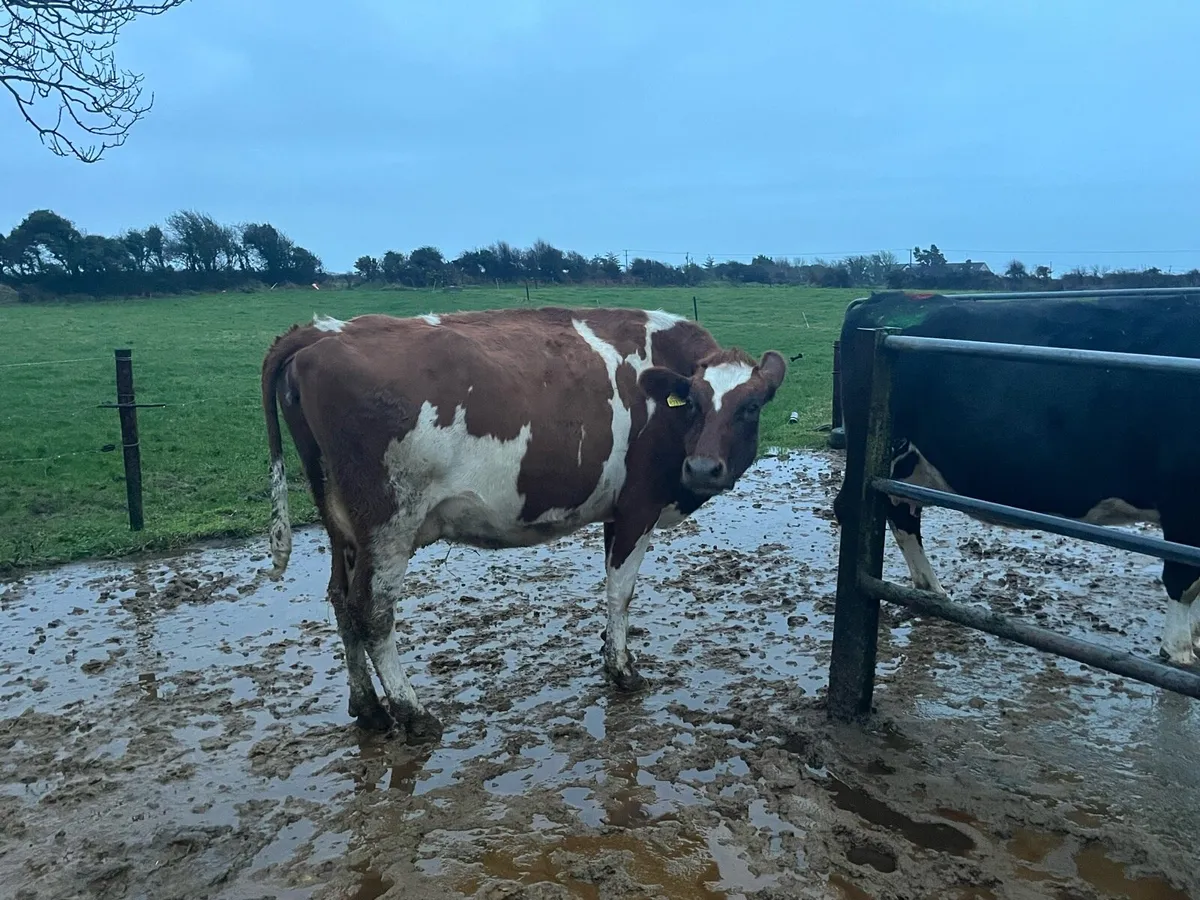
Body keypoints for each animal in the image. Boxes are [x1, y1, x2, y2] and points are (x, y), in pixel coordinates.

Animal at [261, 306, 786, 739]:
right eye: (692, 402)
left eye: (750, 407)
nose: (702, 468)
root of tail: (322, 332)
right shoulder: (640, 505)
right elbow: (620, 592)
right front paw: (622, 670)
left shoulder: (616, 511)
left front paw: (609, 656)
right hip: (388, 524)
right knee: (372, 611)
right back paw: (413, 712)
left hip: (343, 527)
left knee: (341, 602)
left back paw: (369, 708)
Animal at [833, 290, 1200, 667]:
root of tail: (884, 298)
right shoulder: (1183, 496)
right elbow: (1184, 580)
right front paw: (1178, 651)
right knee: (855, 509)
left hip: (908, 465)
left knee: (901, 514)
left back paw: (930, 591)